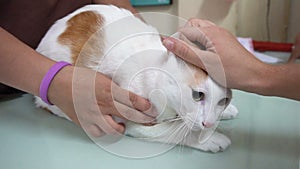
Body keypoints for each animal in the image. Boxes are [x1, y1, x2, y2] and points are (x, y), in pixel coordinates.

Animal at [34, 4, 239, 153]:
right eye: (197, 95)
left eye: (224, 100)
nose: (209, 123)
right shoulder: (132, 120)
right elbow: (175, 132)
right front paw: (209, 138)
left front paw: (225, 113)